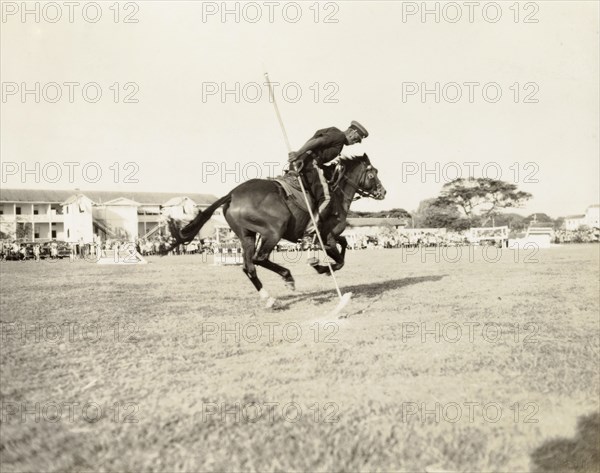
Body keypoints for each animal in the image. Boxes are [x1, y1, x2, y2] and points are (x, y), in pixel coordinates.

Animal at [166, 155, 386, 308]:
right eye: (372, 173)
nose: (383, 192)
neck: (336, 193)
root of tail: (232, 194)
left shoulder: (330, 238)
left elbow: (345, 244)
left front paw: (319, 265)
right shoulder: (327, 238)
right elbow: (340, 260)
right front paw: (322, 267)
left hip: (247, 235)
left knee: (249, 267)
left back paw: (269, 299)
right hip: (273, 231)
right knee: (259, 258)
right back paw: (288, 278)